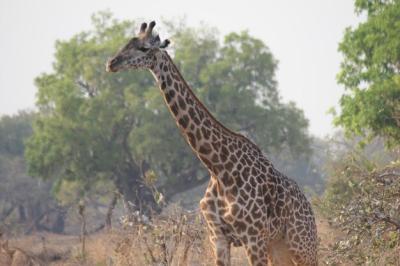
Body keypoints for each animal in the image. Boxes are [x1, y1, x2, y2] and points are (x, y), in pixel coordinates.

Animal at [107, 21, 318, 266]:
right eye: (127, 42)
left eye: (143, 48)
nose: (111, 63)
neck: (218, 168)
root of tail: (309, 206)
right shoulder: (217, 236)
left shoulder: (253, 237)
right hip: (278, 247)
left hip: (302, 245)